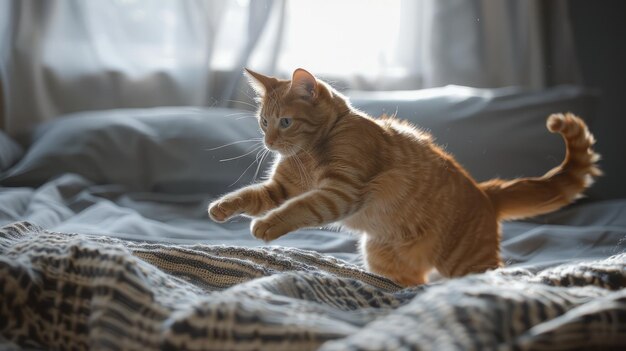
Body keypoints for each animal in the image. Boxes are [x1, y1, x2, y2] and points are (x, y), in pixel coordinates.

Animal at [210, 68, 600, 286]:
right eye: (263, 122)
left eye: (286, 122)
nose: (268, 141)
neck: (312, 150)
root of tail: (485, 192)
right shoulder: (283, 187)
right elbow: (252, 196)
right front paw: (221, 208)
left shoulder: (340, 192)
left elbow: (298, 209)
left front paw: (267, 225)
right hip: (381, 254)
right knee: (409, 285)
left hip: (467, 261)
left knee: (491, 275)